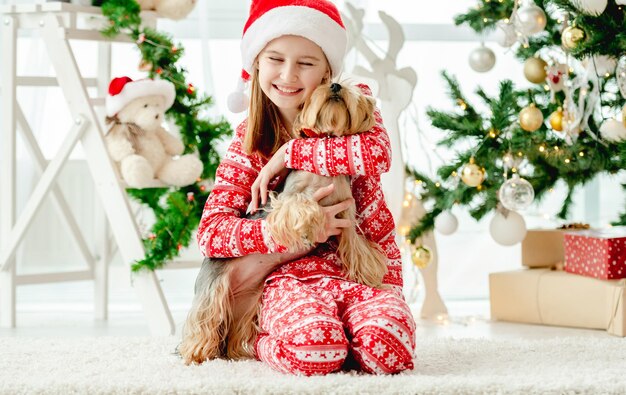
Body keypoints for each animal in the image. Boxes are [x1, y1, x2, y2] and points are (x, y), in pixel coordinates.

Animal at [178, 82, 388, 366]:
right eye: (322, 86)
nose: (334, 85)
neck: (326, 138)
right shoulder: (285, 200)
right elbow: (301, 203)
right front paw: (310, 225)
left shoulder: (345, 212)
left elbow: (357, 245)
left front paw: (370, 273)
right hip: (213, 289)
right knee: (204, 319)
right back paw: (196, 353)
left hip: (246, 303)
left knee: (234, 331)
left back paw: (238, 353)